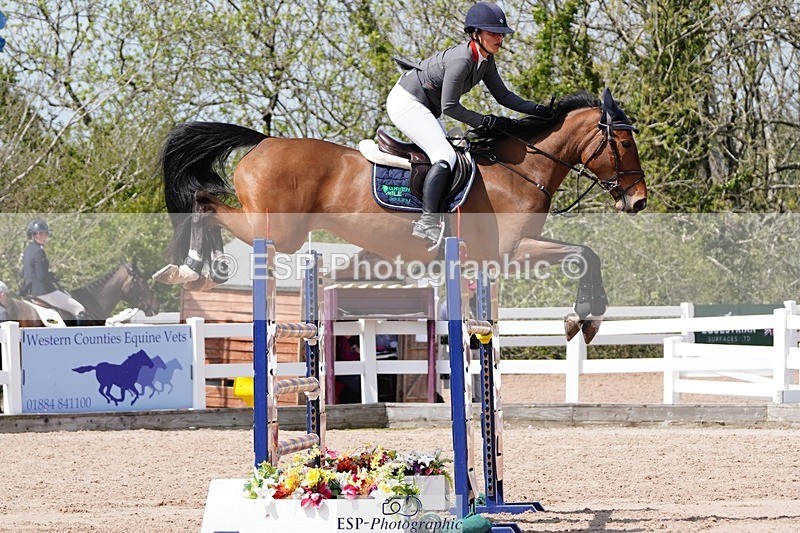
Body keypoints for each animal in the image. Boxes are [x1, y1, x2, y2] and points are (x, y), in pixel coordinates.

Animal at [154, 89, 647, 342]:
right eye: (623, 143)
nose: (638, 201)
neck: (520, 170)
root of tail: (263, 141)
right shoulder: (510, 250)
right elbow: (585, 253)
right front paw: (583, 318)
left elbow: (586, 253)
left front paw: (585, 319)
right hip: (278, 230)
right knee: (203, 201)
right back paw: (189, 270)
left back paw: (190, 270)